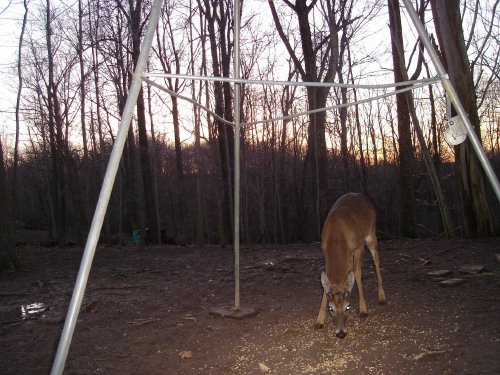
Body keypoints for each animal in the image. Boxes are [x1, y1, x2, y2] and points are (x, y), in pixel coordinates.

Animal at [312, 194, 386, 340]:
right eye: (330, 308)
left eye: (348, 307)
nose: (341, 333)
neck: (337, 238)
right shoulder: (324, 250)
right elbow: (326, 283)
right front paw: (319, 321)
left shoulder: (359, 246)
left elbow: (357, 273)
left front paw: (363, 309)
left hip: (371, 234)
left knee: (376, 260)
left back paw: (382, 298)